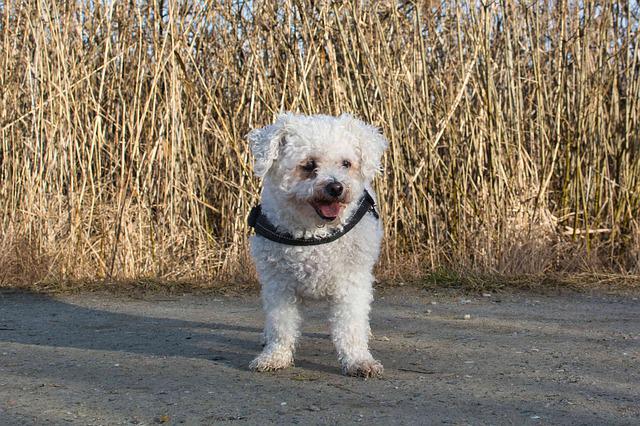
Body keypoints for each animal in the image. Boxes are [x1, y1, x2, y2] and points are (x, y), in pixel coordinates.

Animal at [245, 112, 388, 376]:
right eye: (309, 165)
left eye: (346, 163)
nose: (336, 187)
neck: (314, 235)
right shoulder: (279, 285)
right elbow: (281, 326)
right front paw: (275, 357)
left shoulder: (351, 283)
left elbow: (351, 327)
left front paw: (358, 360)